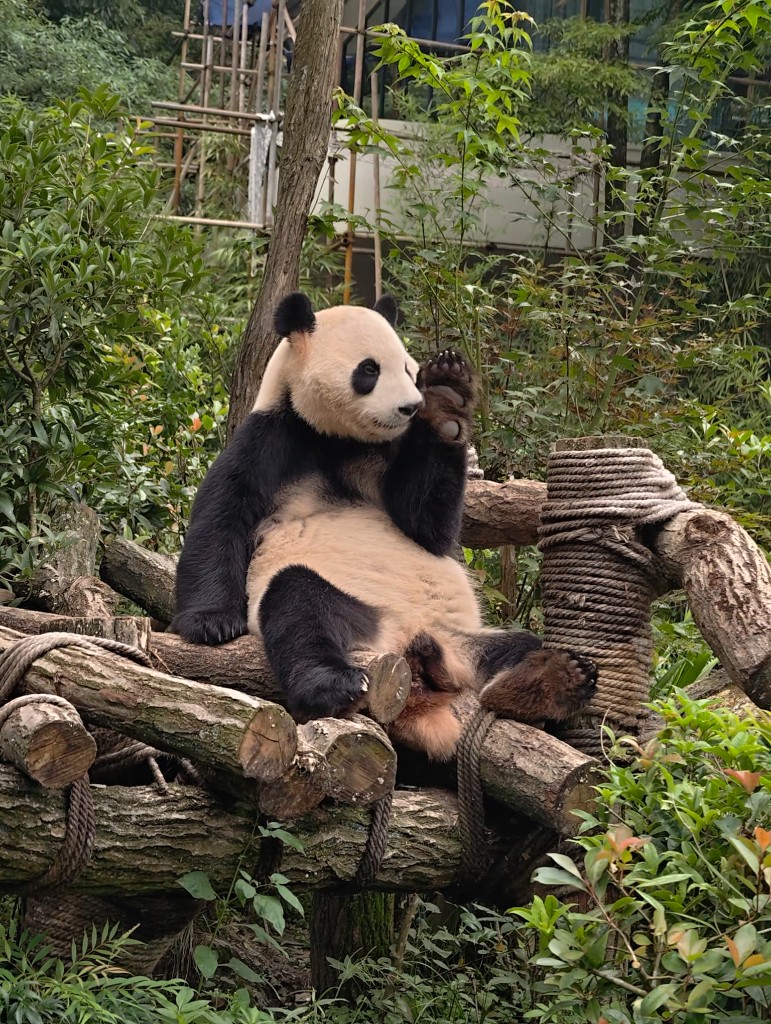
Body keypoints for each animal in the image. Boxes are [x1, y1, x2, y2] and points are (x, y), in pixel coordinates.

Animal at [171, 293, 597, 760]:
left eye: (410, 369)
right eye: (369, 370)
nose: (410, 406)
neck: (337, 439)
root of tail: (412, 662)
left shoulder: (392, 454)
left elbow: (429, 528)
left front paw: (446, 400)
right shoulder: (273, 438)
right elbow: (223, 515)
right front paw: (211, 623)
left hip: (460, 639)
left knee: (516, 647)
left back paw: (550, 680)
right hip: (361, 616)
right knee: (297, 603)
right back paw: (333, 685)